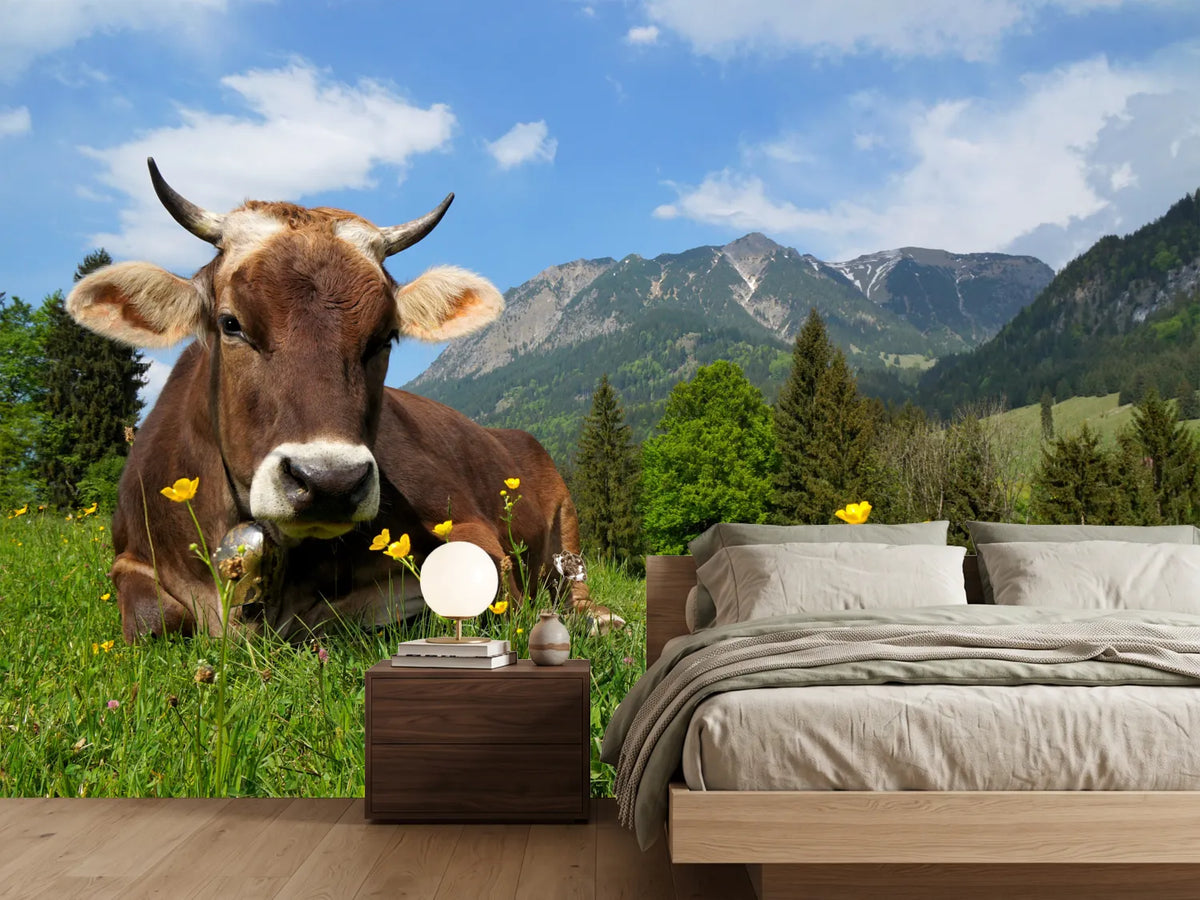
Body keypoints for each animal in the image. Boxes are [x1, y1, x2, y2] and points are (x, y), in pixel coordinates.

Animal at [67, 158, 586, 642]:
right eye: (231, 324)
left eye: (384, 337)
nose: (330, 483)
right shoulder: (130, 555)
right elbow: (152, 617)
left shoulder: (468, 525)